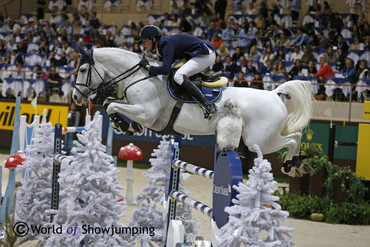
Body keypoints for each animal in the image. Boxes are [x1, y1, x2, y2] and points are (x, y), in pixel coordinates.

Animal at [73, 47, 314, 177]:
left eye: (83, 69)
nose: (75, 97)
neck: (139, 76)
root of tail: (274, 94)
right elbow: (110, 103)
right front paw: (127, 125)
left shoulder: (146, 112)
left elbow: (111, 105)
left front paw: (126, 125)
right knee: (295, 137)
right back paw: (298, 166)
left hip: (259, 140)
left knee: (294, 138)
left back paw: (291, 166)